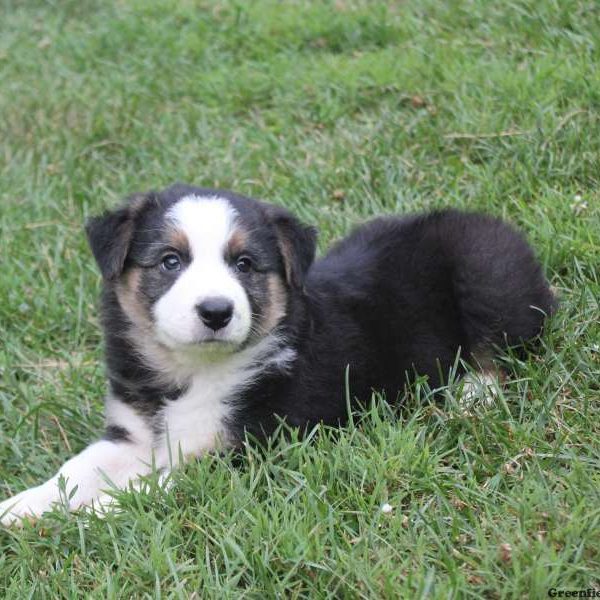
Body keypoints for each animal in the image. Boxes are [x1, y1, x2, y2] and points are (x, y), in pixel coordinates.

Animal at [0, 184, 556, 524]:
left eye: (245, 264)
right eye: (170, 261)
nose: (216, 311)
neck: (191, 374)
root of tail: (480, 217)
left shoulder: (245, 451)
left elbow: (137, 490)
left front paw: (79, 519)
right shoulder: (132, 434)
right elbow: (75, 470)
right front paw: (22, 507)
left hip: (488, 274)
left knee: (499, 349)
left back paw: (472, 398)